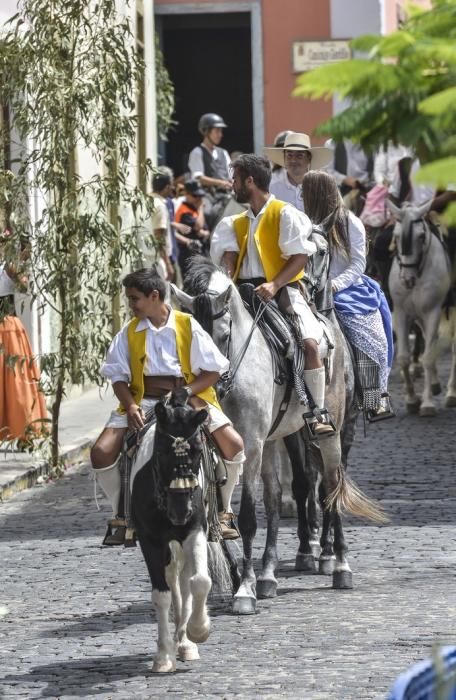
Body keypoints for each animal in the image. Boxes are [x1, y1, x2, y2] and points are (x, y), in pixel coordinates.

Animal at [130, 396, 226, 668]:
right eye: (162, 451)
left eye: (197, 451)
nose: (181, 511)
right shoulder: (150, 540)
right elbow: (161, 594)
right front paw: (163, 655)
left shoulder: (195, 531)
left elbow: (200, 581)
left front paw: (198, 631)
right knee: (173, 580)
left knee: (183, 581)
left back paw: (185, 643)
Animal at [171, 256, 384, 612]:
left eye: (223, 335)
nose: (210, 393)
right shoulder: (224, 447)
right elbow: (220, 513)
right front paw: (241, 578)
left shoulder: (252, 444)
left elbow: (247, 516)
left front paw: (244, 591)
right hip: (276, 440)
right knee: (275, 498)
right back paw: (269, 575)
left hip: (331, 433)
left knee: (330, 485)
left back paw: (339, 565)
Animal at [386, 200, 454, 412]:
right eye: (396, 236)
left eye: (421, 236)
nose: (407, 279)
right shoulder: (400, 313)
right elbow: (403, 358)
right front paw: (411, 399)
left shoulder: (433, 312)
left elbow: (428, 356)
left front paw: (427, 403)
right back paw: (436, 384)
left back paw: (451, 392)